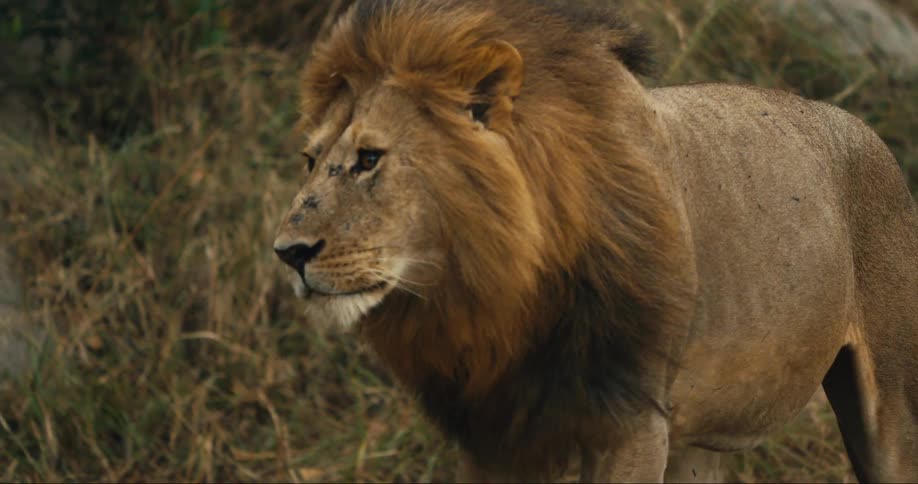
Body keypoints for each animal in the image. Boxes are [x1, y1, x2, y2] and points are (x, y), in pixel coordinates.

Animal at [272, 0, 918, 481]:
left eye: (369, 158)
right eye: (310, 161)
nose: (288, 254)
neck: (502, 291)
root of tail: (863, 129)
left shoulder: (632, 423)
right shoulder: (495, 432)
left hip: (894, 410)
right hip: (698, 442)